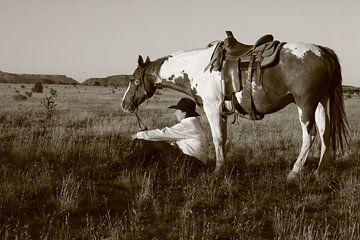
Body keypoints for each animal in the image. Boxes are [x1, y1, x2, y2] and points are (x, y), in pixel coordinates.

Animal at [121, 36, 348, 181]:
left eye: (133, 80)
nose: (124, 104)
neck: (198, 68)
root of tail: (322, 51)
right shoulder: (221, 111)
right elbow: (224, 138)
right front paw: (224, 167)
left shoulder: (212, 107)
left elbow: (217, 138)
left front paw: (218, 170)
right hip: (320, 102)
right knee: (325, 132)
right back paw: (320, 170)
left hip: (305, 104)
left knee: (309, 134)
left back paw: (295, 171)